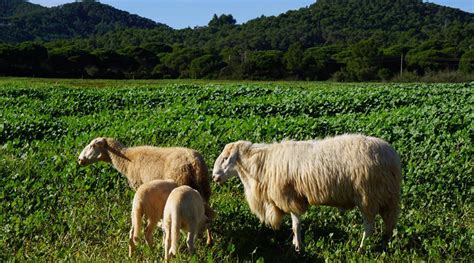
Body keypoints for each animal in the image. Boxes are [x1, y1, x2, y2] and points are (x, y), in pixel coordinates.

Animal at [78, 137, 215, 246]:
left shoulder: (139, 186)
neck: (126, 159)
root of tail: (193, 163)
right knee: (207, 213)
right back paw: (209, 240)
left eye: (93, 145)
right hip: (204, 189)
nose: (79, 160)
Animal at [211, 135, 400, 253]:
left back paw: (361, 249)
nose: (213, 176)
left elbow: (296, 225)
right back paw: (384, 244)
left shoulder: (290, 198)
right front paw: (296, 244)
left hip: (368, 196)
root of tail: (392, 156)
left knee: (369, 227)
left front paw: (298, 248)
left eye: (226, 158)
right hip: (387, 198)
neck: (262, 165)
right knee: (388, 224)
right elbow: (295, 225)